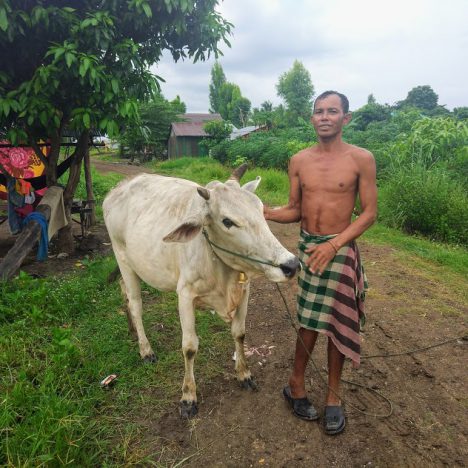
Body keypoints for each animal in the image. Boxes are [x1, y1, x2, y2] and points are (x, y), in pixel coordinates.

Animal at [102, 165, 300, 416]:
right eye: (227, 221)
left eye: (260, 209)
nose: (291, 265)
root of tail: (116, 189)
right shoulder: (185, 295)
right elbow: (189, 347)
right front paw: (188, 397)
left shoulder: (245, 289)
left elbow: (239, 333)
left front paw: (244, 374)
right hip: (123, 259)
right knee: (135, 304)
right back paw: (145, 349)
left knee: (124, 293)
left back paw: (132, 331)